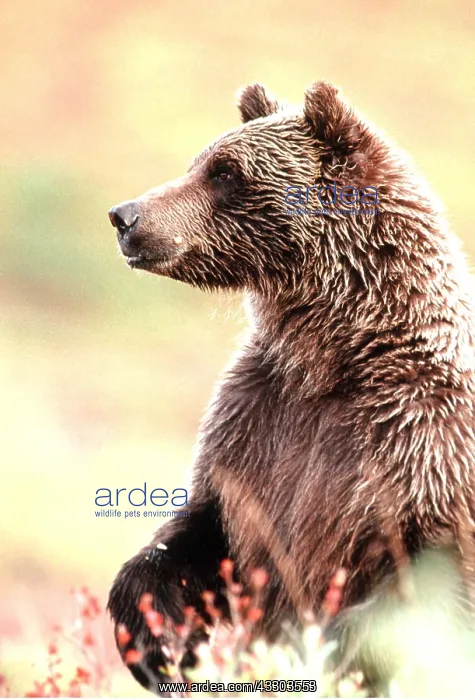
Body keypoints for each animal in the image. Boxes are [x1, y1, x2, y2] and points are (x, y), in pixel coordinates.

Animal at [107, 81, 475, 693]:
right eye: (201, 161)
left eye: (225, 172)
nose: (124, 215)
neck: (333, 354)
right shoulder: (260, 421)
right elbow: (205, 529)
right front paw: (158, 641)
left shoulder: (421, 439)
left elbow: (422, 585)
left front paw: (325, 654)